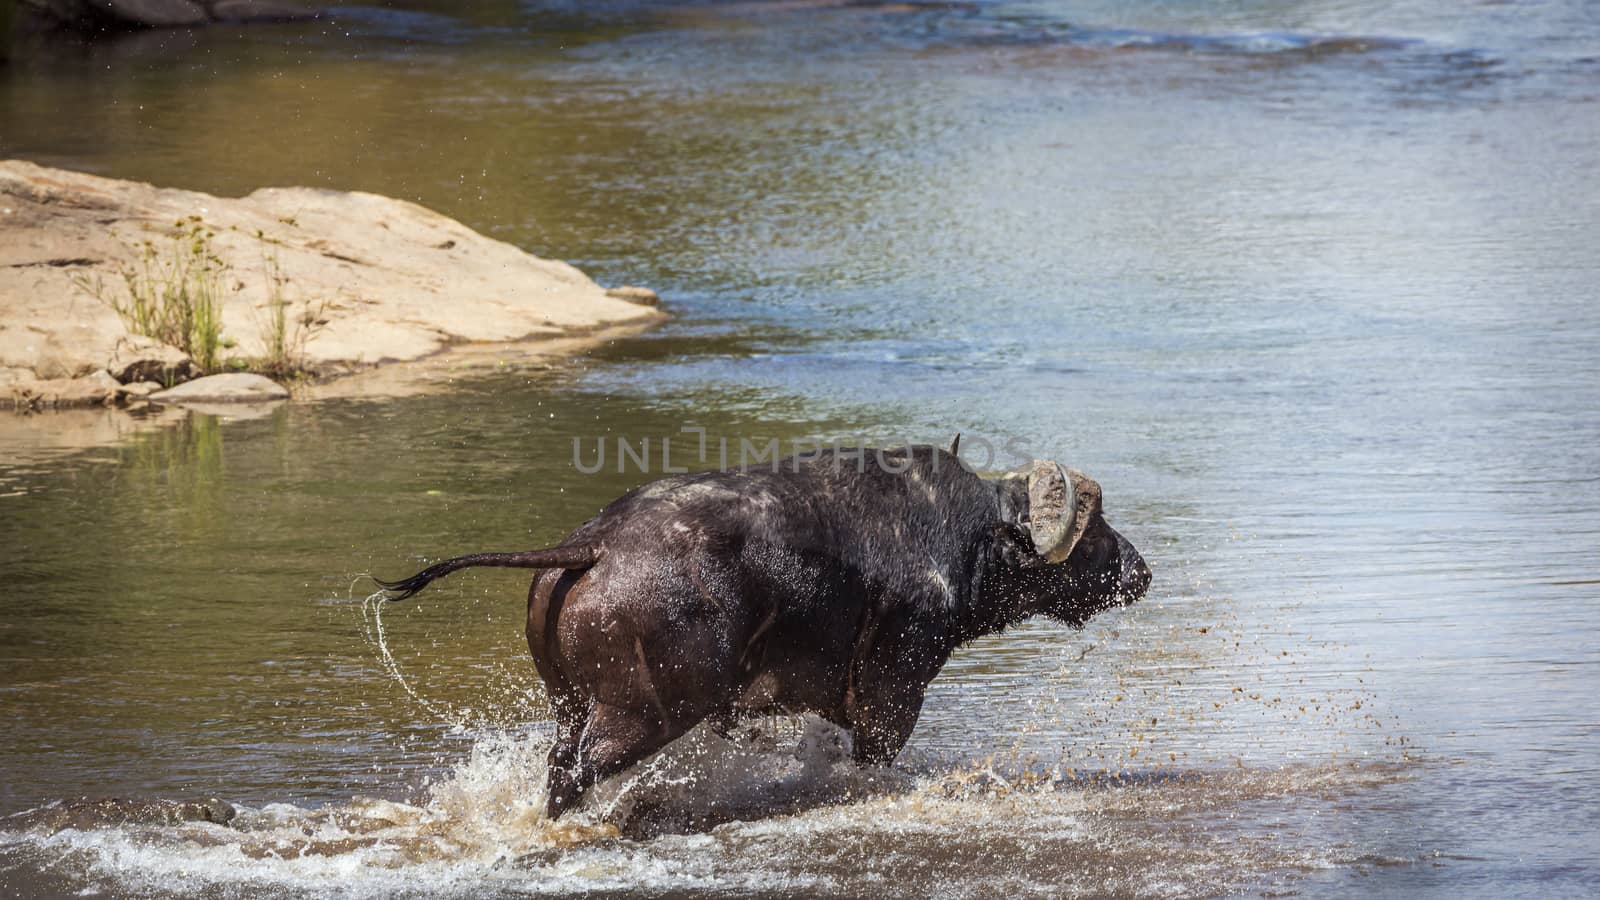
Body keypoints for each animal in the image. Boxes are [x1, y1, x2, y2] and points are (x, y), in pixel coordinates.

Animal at [374, 438, 1152, 816]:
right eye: (1094, 530)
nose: (1139, 570)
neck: (967, 538)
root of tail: (597, 543)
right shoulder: (893, 696)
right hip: (644, 714)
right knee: (571, 777)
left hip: (569, 703)